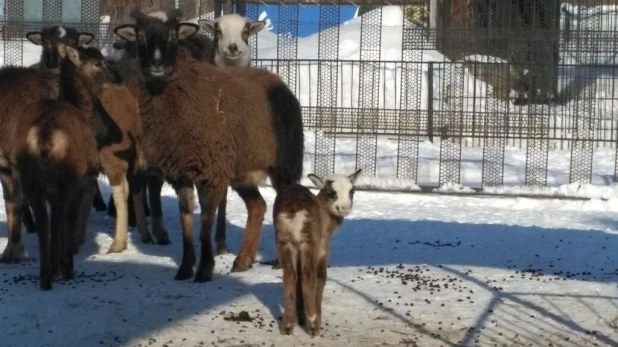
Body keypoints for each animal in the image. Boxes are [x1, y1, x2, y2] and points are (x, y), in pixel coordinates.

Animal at [112, 8, 304, 282]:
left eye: (174, 36)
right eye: (140, 37)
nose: (157, 64)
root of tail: (275, 78)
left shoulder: (210, 171)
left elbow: (205, 222)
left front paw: (204, 269)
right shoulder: (181, 173)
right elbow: (186, 219)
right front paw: (185, 268)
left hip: (284, 164)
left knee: (284, 205)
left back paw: (279, 261)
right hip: (241, 169)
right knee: (258, 206)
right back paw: (243, 260)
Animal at [270, 170, 360, 336]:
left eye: (352, 191)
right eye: (331, 192)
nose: (344, 208)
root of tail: (293, 213)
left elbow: (297, 279)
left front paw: (301, 318)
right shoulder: (323, 251)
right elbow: (321, 277)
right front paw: (315, 318)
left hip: (283, 241)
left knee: (290, 276)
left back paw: (287, 325)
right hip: (309, 243)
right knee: (308, 277)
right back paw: (313, 325)